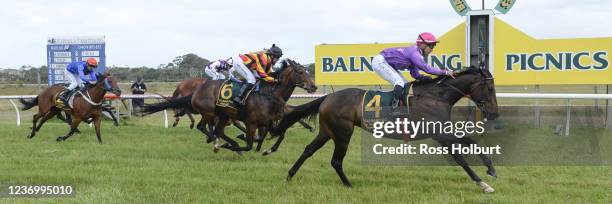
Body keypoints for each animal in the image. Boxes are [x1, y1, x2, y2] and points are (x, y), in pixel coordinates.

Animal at [274, 66, 502, 192]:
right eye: (490, 88)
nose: (494, 113)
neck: (436, 96)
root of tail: (328, 97)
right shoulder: (440, 135)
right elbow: (461, 158)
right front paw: (483, 183)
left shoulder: (442, 131)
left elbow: (471, 142)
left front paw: (491, 169)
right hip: (343, 133)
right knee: (336, 161)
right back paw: (349, 185)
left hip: (327, 132)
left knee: (308, 150)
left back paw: (288, 177)